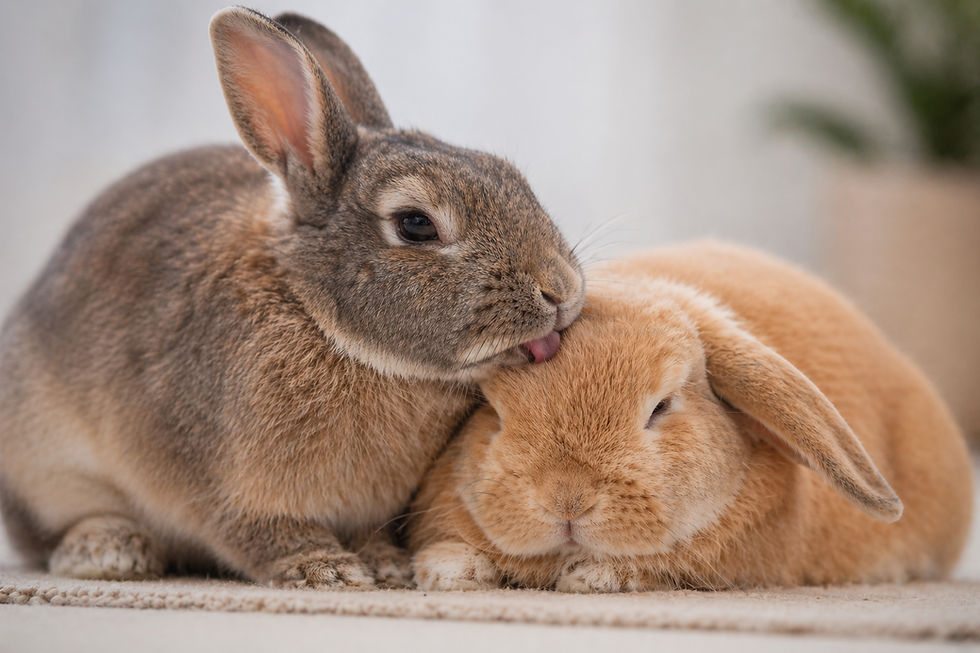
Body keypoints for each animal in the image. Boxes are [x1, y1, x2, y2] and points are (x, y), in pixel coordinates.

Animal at [0, 7, 584, 588]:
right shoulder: (226, 489)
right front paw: (325, 570)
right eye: (416, 225)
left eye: (512, 177)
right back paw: (107, 549)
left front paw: (387, 566)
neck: (318, 317)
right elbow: (259, 532)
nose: (562, 289)